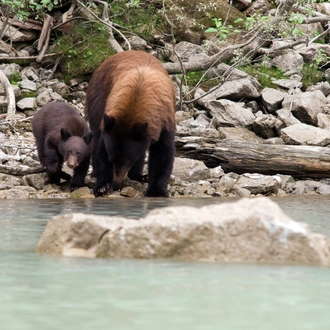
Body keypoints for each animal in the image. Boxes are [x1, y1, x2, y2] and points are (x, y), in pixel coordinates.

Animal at [86, 50, 177, 197]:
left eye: (128, 160)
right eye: (111, 158)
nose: (117, 182)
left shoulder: (164, 120)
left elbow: (163, 152)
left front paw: (157, 191)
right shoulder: (109, 120)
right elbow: (101, 146)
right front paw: (103, 185)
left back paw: (139, 176)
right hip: (97, 95)